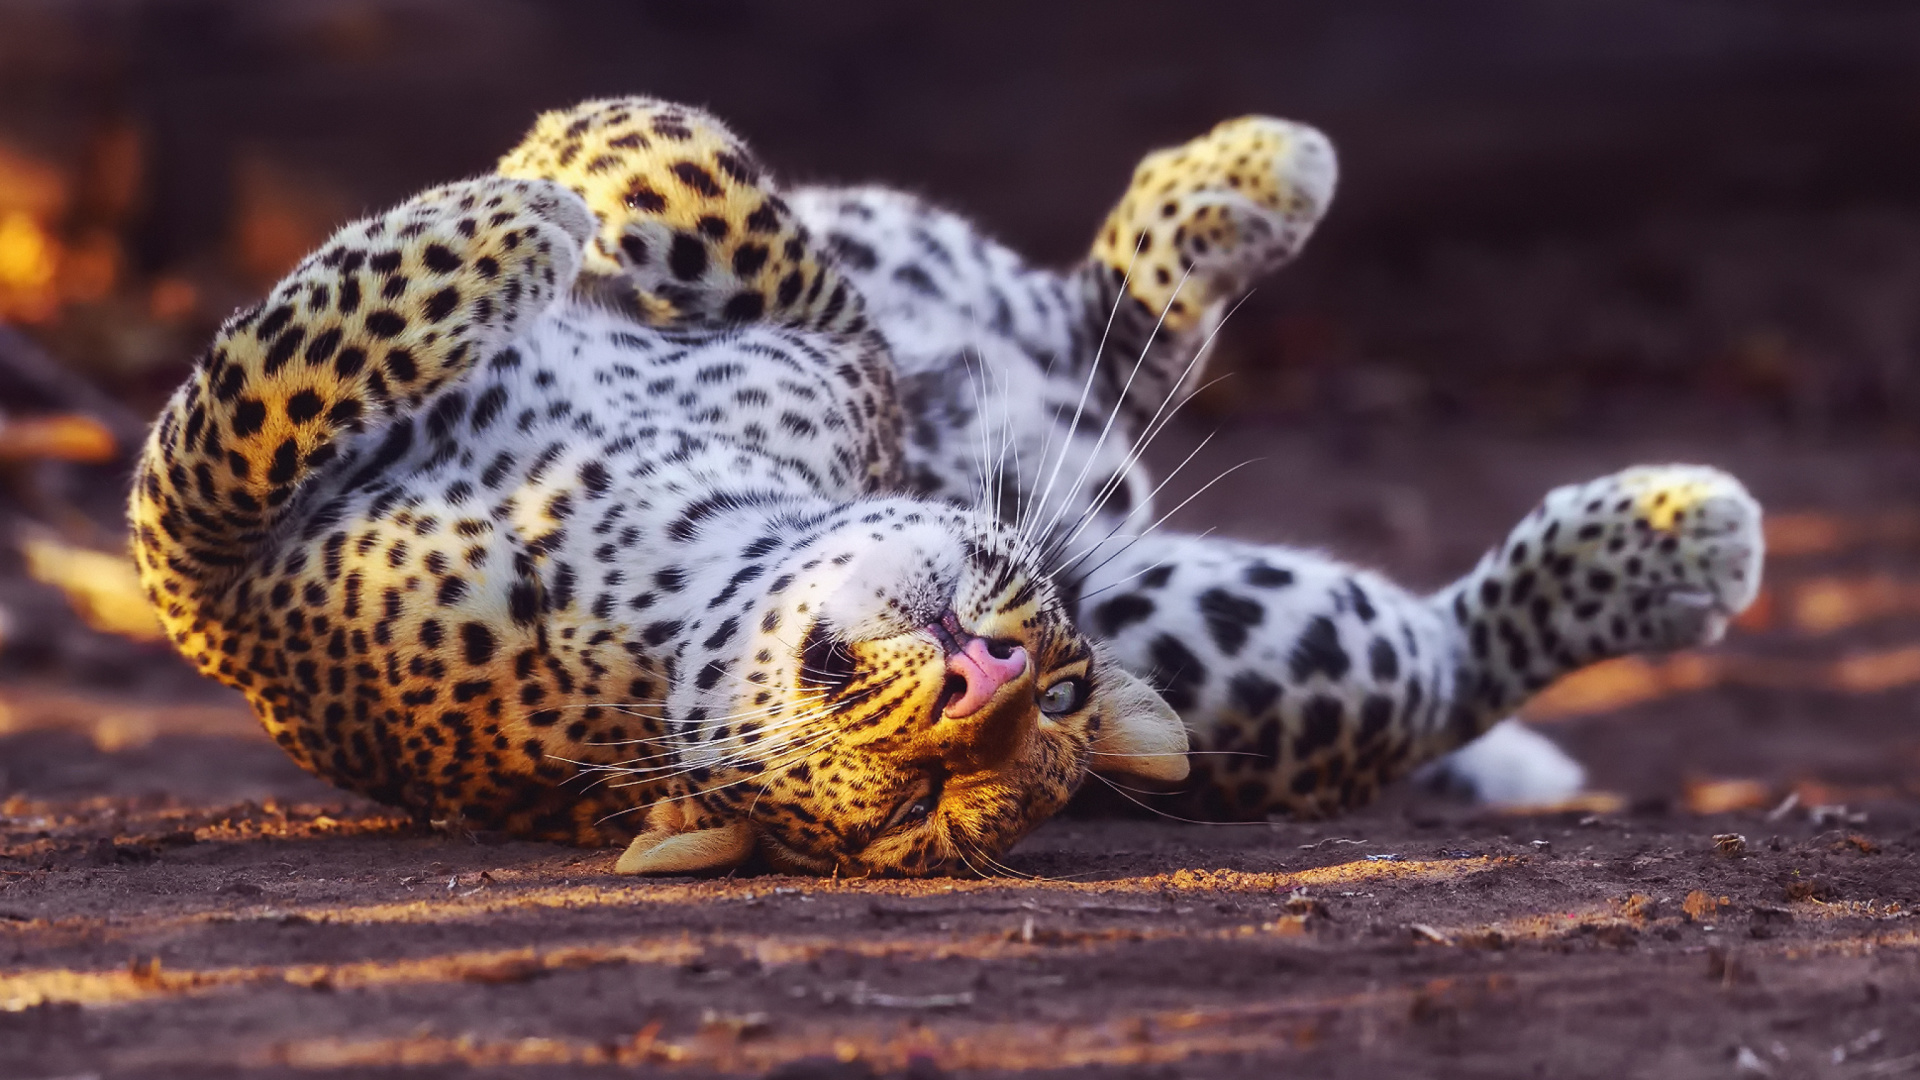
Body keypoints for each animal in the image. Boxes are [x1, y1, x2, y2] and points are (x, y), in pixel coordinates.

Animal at [127, 94, 1758, 876]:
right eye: (929, 795)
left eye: (1052, 702)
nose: (993, 676)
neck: (670, 567)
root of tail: (1105, 504)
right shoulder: (218, 594)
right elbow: (248, 406)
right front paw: (531, 200)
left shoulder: (830, 354)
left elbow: (692, 172)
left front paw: (540, 190)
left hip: (1223, 606)